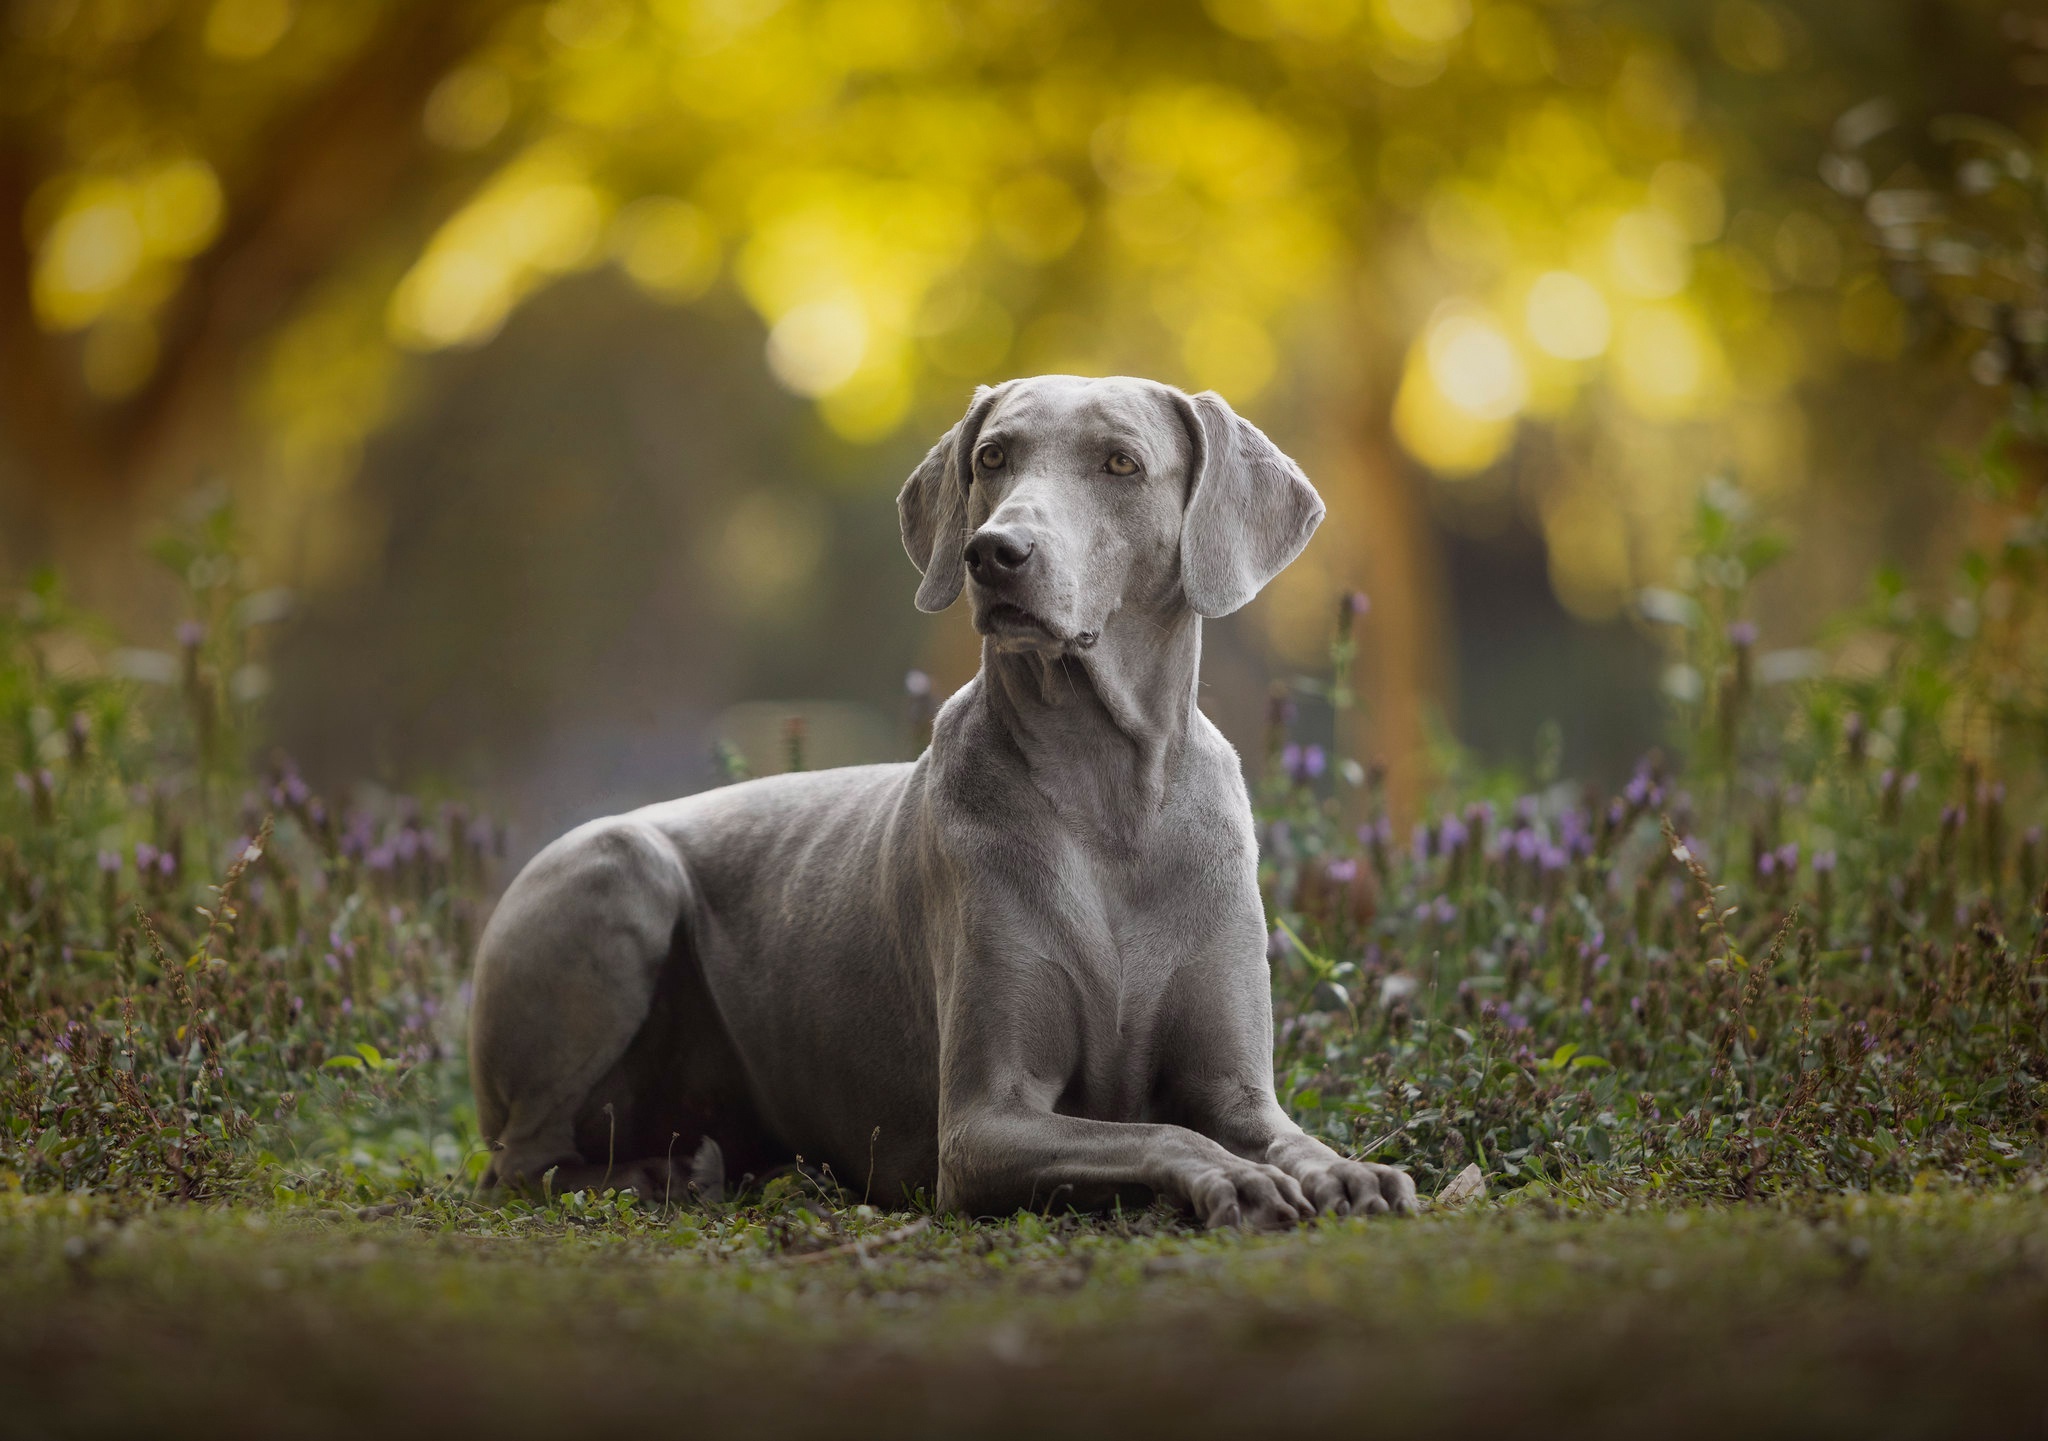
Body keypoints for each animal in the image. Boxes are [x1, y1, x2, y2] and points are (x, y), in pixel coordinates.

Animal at [468, 374, 1417, 1228]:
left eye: (1120, 462)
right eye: (992, 456)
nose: (995, 552)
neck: (1106, 792)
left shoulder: (1237, 1089)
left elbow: (1287, 1136)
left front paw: (1351, 1172)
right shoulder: (983, 1123)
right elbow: (1162, 1132)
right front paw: (1241, 1180)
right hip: (620, 868)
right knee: (522, 1162)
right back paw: (652, 1176)